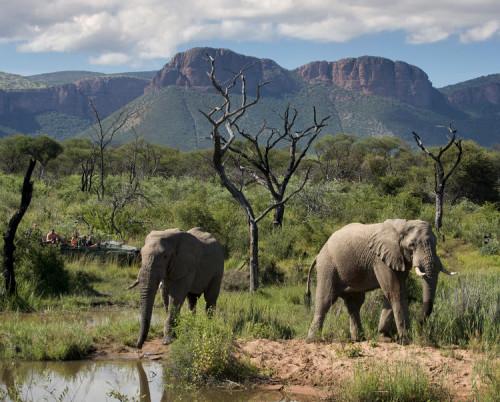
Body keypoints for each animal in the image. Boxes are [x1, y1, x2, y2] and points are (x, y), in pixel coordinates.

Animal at [304, 218, 458, 344]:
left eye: (436, 243)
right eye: (412, 245)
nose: (417, 325)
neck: (403, 224)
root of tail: (319, 254)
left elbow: (392, 292)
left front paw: (384, 335)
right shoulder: (380, 259)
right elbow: (395, 291)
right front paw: (406, 340)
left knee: (355, 303)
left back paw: (359, 339)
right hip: (328, 266)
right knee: (326, 299)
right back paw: (313, 340)